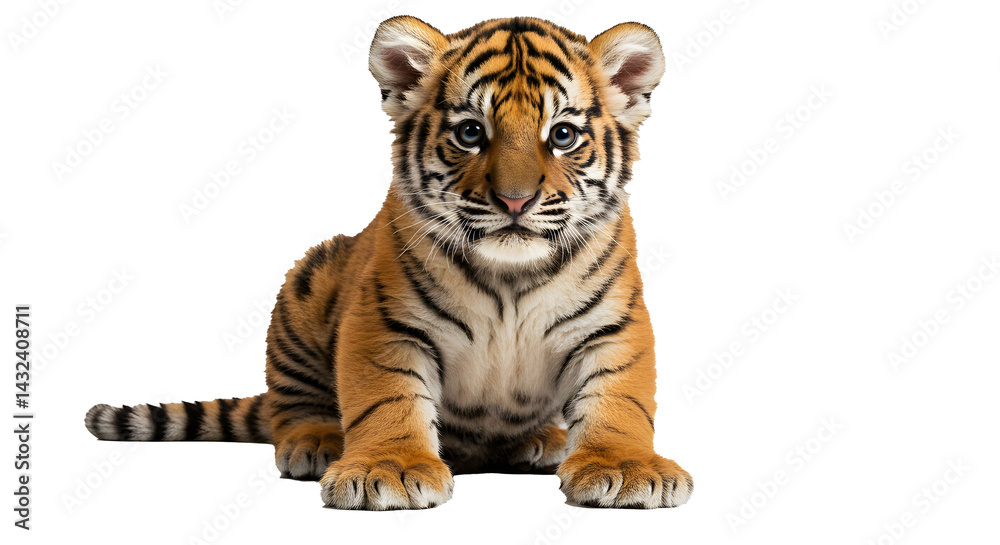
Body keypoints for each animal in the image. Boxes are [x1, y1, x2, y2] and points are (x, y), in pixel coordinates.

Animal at [85, 15, 693, 510]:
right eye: (471, 132)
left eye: (562, 135)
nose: (515, 201)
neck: (509, 276)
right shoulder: (384, 323)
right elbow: (386, 397)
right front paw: (389, 468)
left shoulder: (613, 326)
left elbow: (620, 397)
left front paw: (625, 467)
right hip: (308, 282)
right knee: (292, 404)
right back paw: (316, 441)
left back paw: (541, 440)